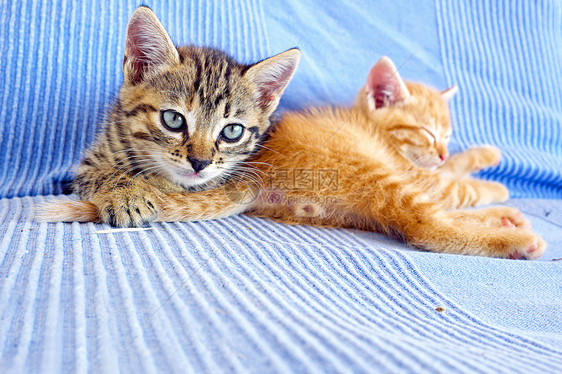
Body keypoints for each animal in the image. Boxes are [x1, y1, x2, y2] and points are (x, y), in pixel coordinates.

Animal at [41, 9, 544, 260]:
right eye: (425, 134)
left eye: (232, 131)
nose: (439, 152)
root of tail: (258, 179)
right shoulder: (413, 170)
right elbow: (456, 185)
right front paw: (491, 174)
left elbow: (452, 181)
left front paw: (478, 165)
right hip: (368, 171)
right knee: (424, 226)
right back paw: (516, 237)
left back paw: (505, 220)